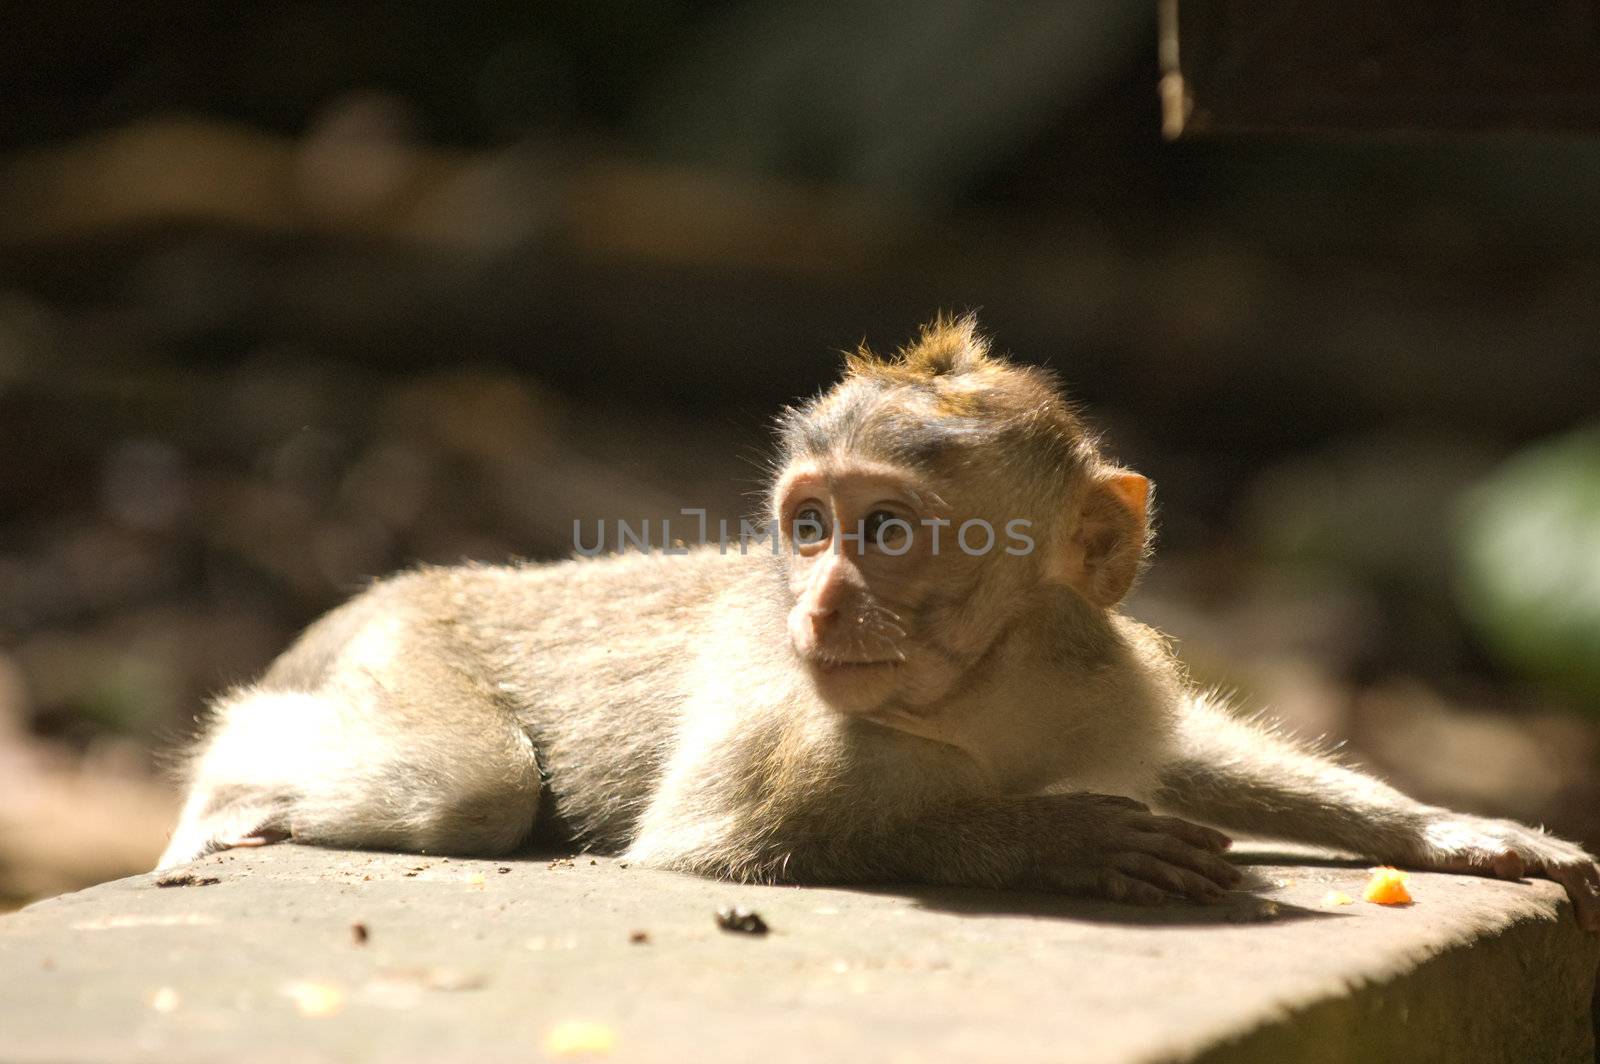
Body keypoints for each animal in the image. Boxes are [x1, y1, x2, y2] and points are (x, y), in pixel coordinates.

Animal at [156, 315, 1600, 928]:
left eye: (887, 532)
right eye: (809, 527)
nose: (821, 598)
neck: (981, 686)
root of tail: (384, 592)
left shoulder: (1096, 668)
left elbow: (1183, 752)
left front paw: (1454, 829)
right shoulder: (783, 724)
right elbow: (713, 839)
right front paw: (1054, 840)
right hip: (401, 657)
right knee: (471, 788)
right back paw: (228, 796)